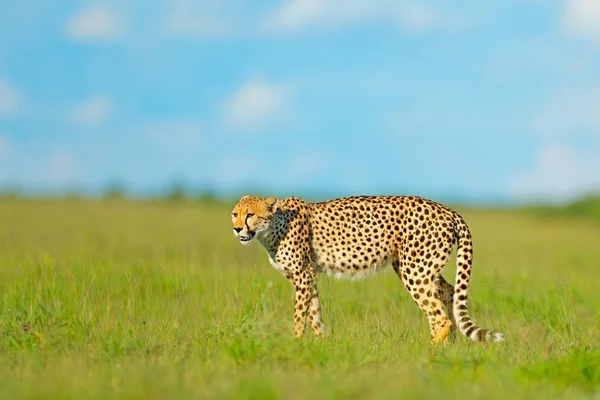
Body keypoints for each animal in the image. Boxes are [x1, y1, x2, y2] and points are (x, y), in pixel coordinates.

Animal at [232, 195, 504, 344]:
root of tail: (448, 210)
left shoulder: (302, 276)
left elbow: (300, 316)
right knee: (449, 296)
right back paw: (449, 348)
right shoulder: (309, 277)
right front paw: (322, 345)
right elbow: (315, 314)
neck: (273, 227)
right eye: (235, 214)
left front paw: (296, 343)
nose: (237, 229)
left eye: (250, 215)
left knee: (440, 316)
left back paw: (428, 353)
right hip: (421, 267)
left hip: (414, 270)